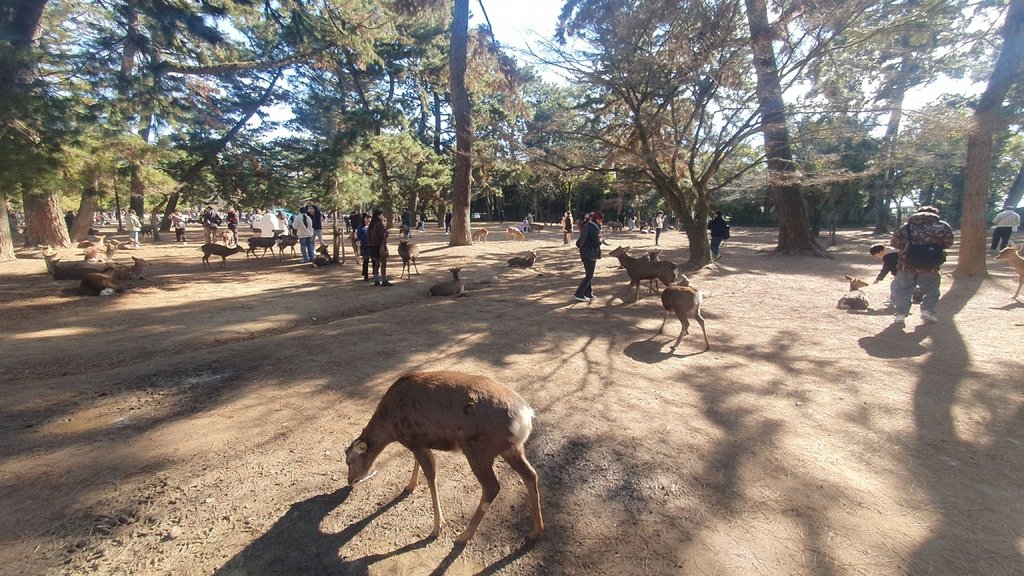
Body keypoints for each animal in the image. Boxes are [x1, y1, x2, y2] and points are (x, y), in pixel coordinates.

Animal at [344, 368, 544, 541]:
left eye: (349, 461)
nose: (350, 480)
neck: (390, 425)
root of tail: (525, 417)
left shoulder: (415, 440)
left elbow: (431, 477)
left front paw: (437, 526)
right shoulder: (419, 442)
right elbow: (416, 463)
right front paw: (410, 486)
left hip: (478, 451)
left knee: (492, 487)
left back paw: (465, 535)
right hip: (511, 449)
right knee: (530, 474)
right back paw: (535, 531)